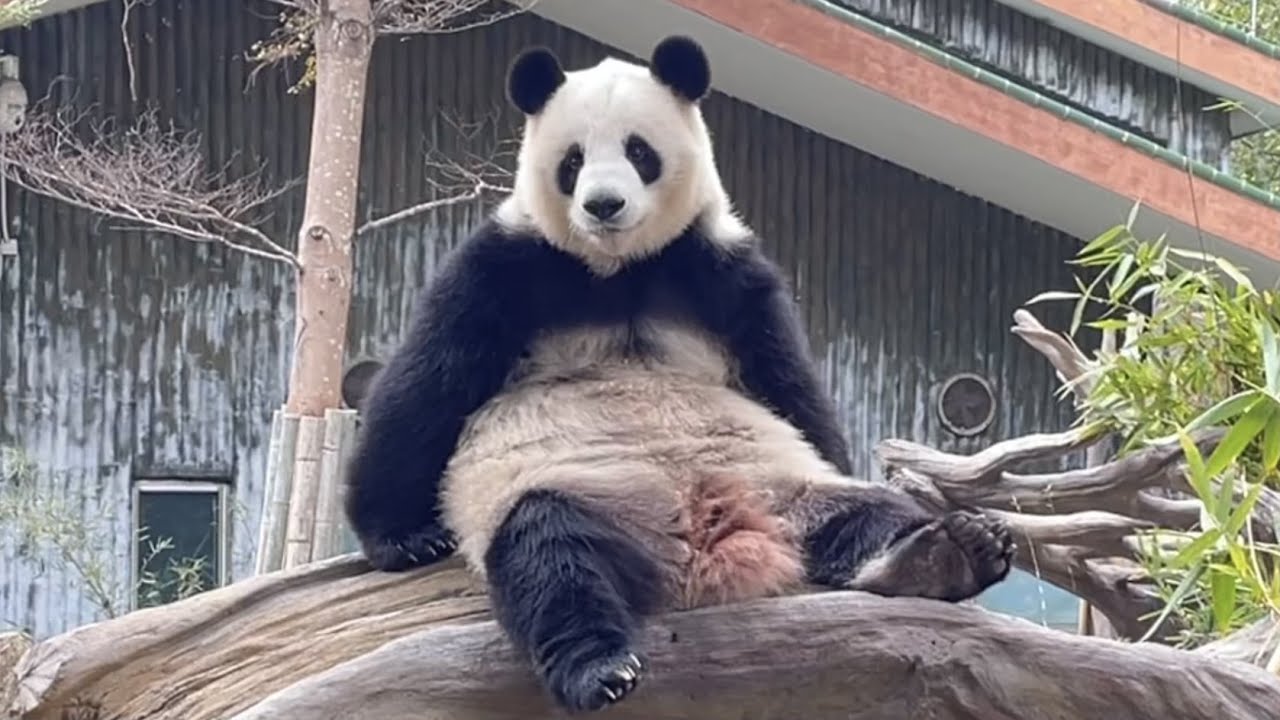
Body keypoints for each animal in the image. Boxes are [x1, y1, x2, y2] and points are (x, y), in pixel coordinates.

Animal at [344, 35, 1014, 714]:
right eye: (573, 160)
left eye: (639, 151)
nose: (603, 205)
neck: (620, 268)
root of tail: (705, 541)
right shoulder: (508, 268)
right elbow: (426, 387)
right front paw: (405, 539)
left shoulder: (722, 272)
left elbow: (791, 385)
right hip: (594, 499)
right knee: (549, 555)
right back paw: (599, 668)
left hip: (784, 490)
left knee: (866, 512)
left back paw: (946, 554)